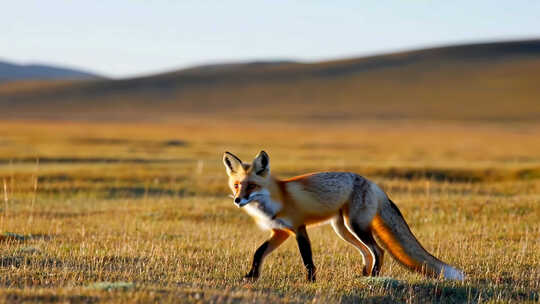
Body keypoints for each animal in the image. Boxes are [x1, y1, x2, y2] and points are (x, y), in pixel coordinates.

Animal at [221, 151, 466, 282]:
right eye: (237, 185)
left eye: (252, 186)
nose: (237, 200)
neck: (276, 198)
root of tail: (373, 184)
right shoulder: (280, 231)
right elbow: (259, 252)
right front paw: (252, 276)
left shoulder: (299, 228)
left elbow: (307, 259)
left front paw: (311, 281)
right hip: (342, 229)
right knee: (366, 252)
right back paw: (364, 274)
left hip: (355, 225)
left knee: (378, 250)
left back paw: (373, 277)